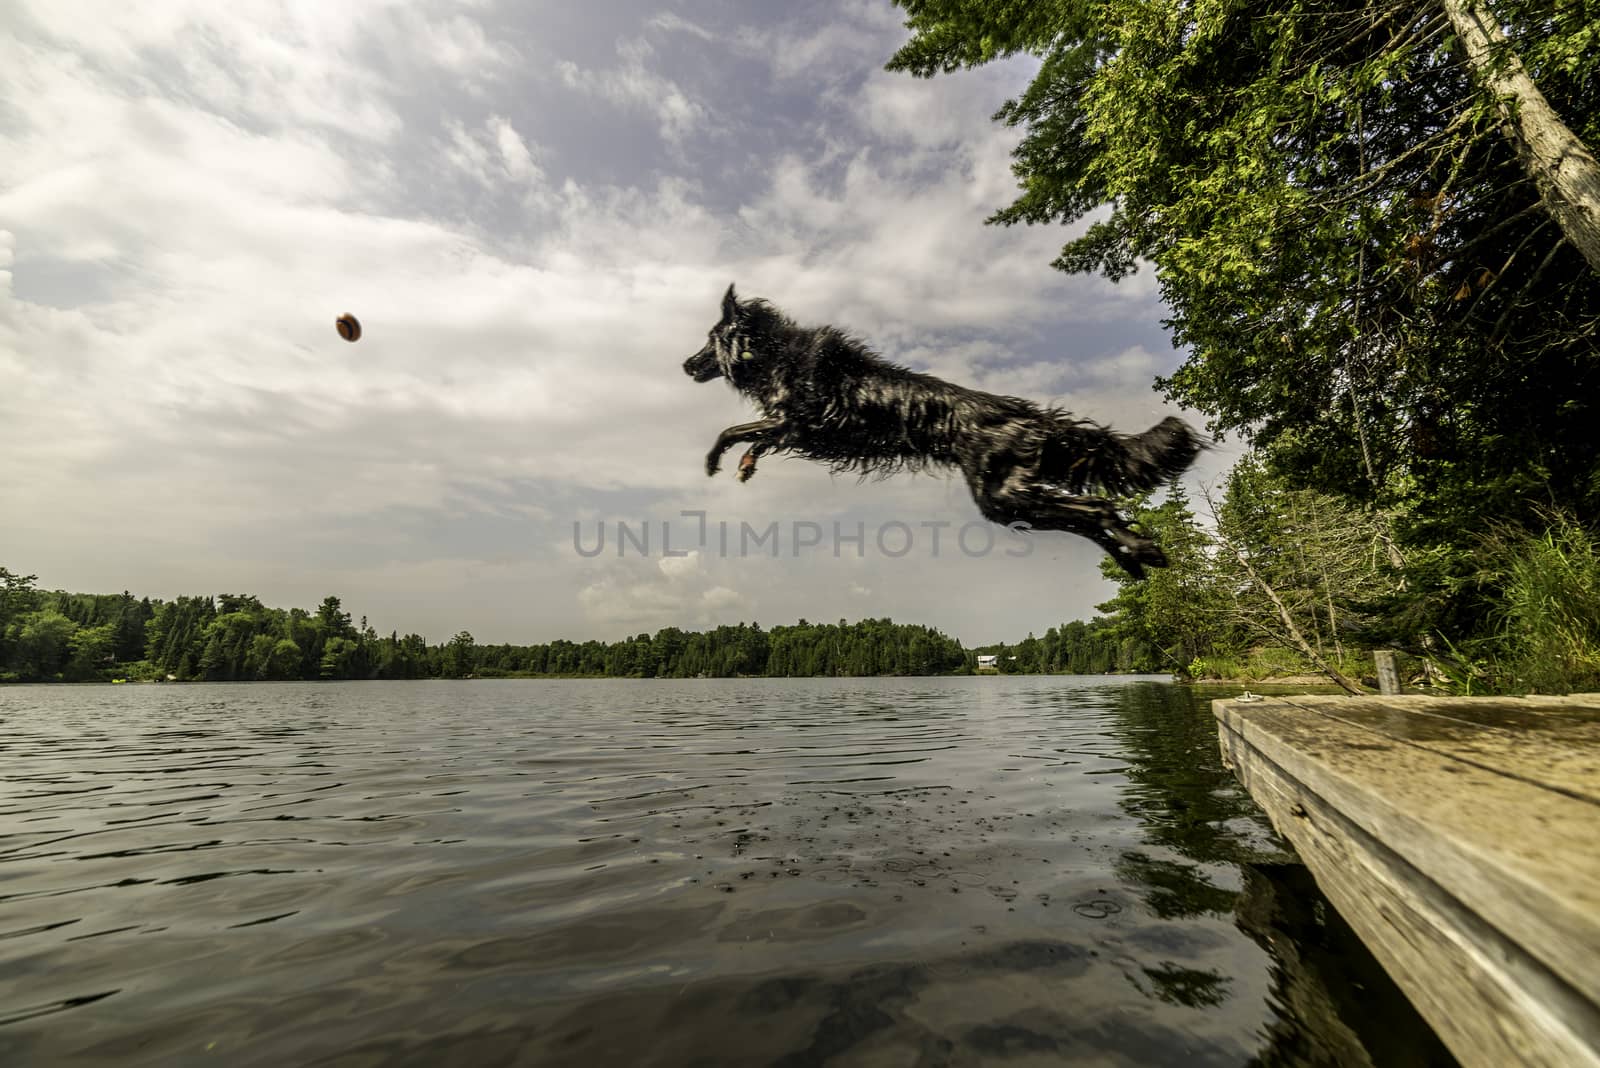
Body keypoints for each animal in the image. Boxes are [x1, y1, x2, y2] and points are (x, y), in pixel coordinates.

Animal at [681, 282, 1203, 575]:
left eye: (708, 339)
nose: (685, 365)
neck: (773, 355)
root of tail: (1025, 415)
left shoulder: (795, 420)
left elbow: (733, 430)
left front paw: (713, 462)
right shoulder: (794, 429)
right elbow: (755, 437)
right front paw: (746, 466)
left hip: (1001, 494)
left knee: (1095, 508)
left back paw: (1138, 550)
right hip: (1009, 500)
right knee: (1089, 515)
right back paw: (1139, 556)